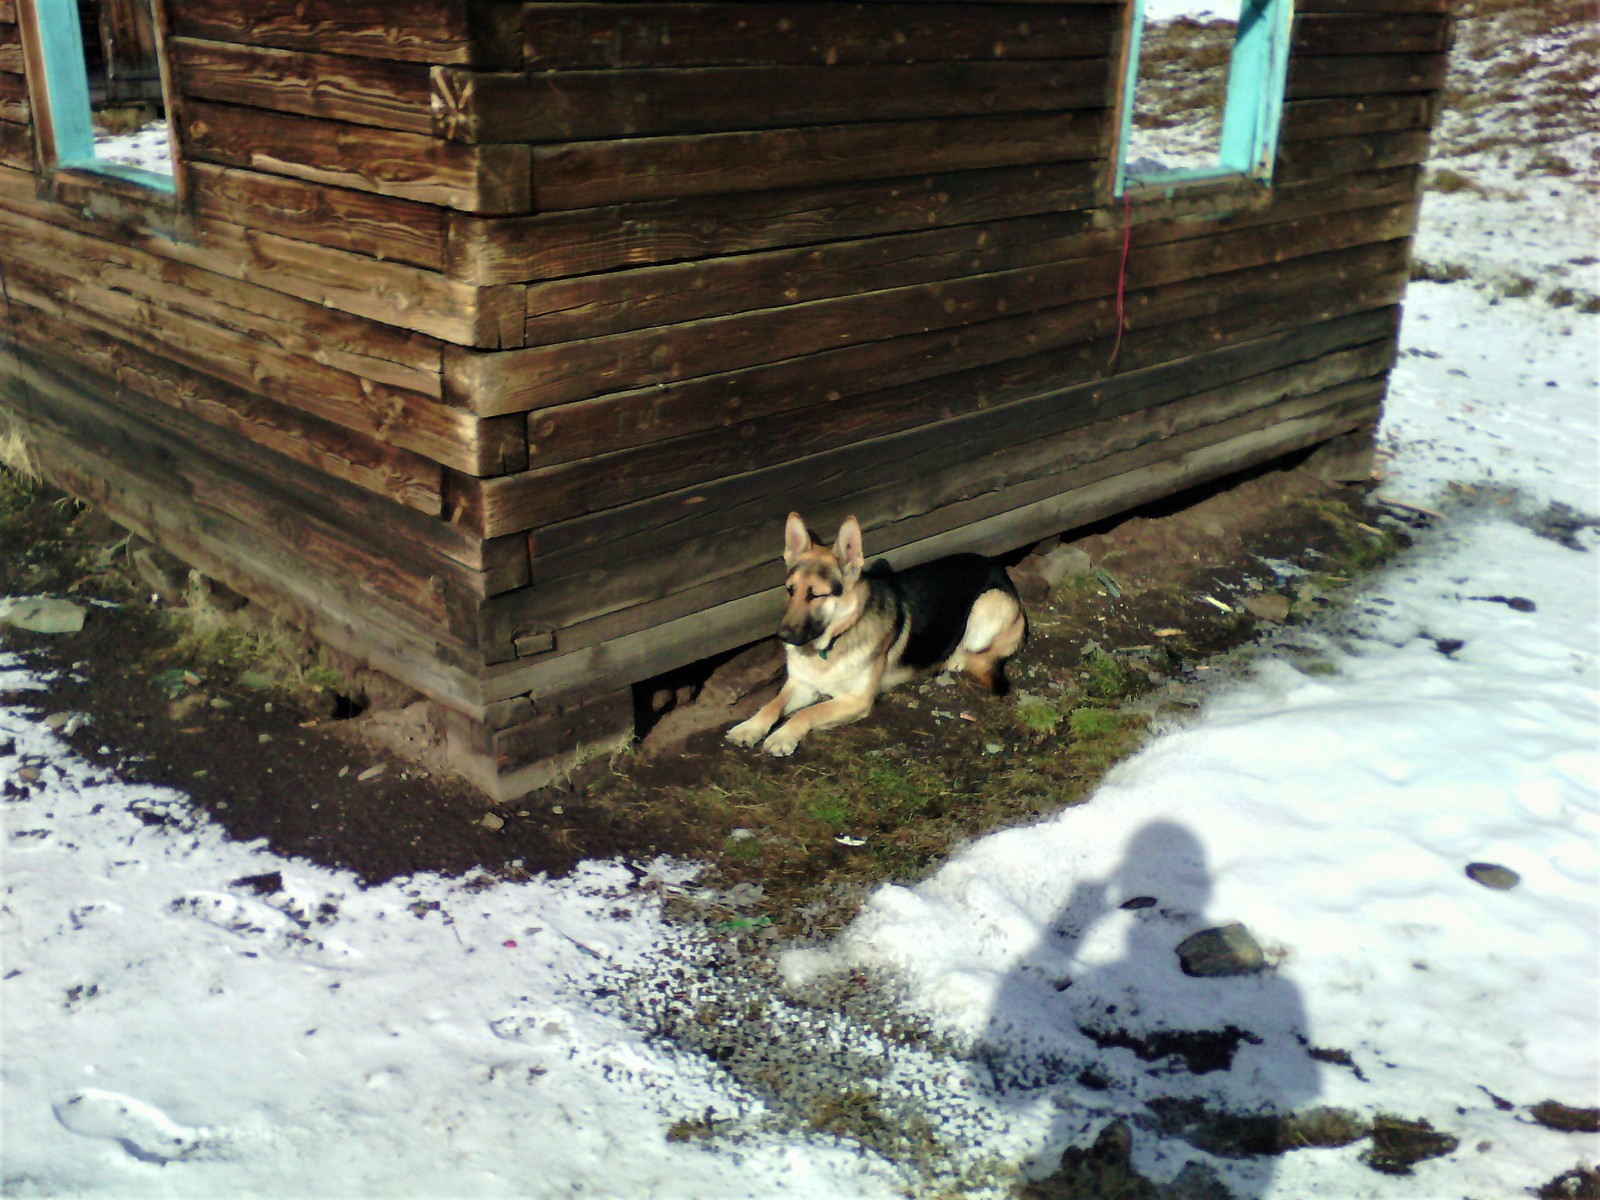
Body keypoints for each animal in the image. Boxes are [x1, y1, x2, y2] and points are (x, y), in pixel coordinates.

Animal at [732, 512, 1030, 755]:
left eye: (815, 595)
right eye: (790, 590)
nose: (782, 636)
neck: (836, 639)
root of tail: (996, 564)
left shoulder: (855, 700)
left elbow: (807, 713)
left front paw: (782, 735)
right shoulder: (801, 684)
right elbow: (772, 704)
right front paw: (750, 727)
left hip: (987, 607)